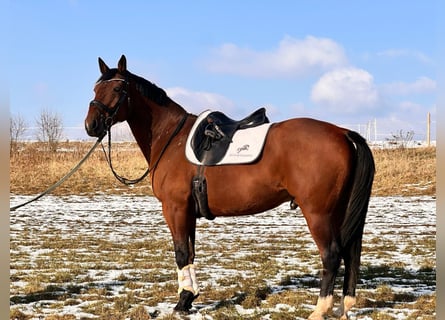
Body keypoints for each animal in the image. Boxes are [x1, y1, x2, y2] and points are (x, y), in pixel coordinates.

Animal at [84, 55, 374, 320]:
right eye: (95, 89)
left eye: (118, 89)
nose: (91, 125)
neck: (171, 138)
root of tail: (343, 132)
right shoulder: (188, 213)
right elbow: (190, 252)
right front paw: (189, 298)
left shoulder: (175, 209)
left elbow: (181, 253)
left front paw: (181, 302)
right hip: (339, 211)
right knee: (350, 251)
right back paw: (344, 307)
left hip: (318, 213)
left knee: (331, 255)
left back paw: (320, 310)